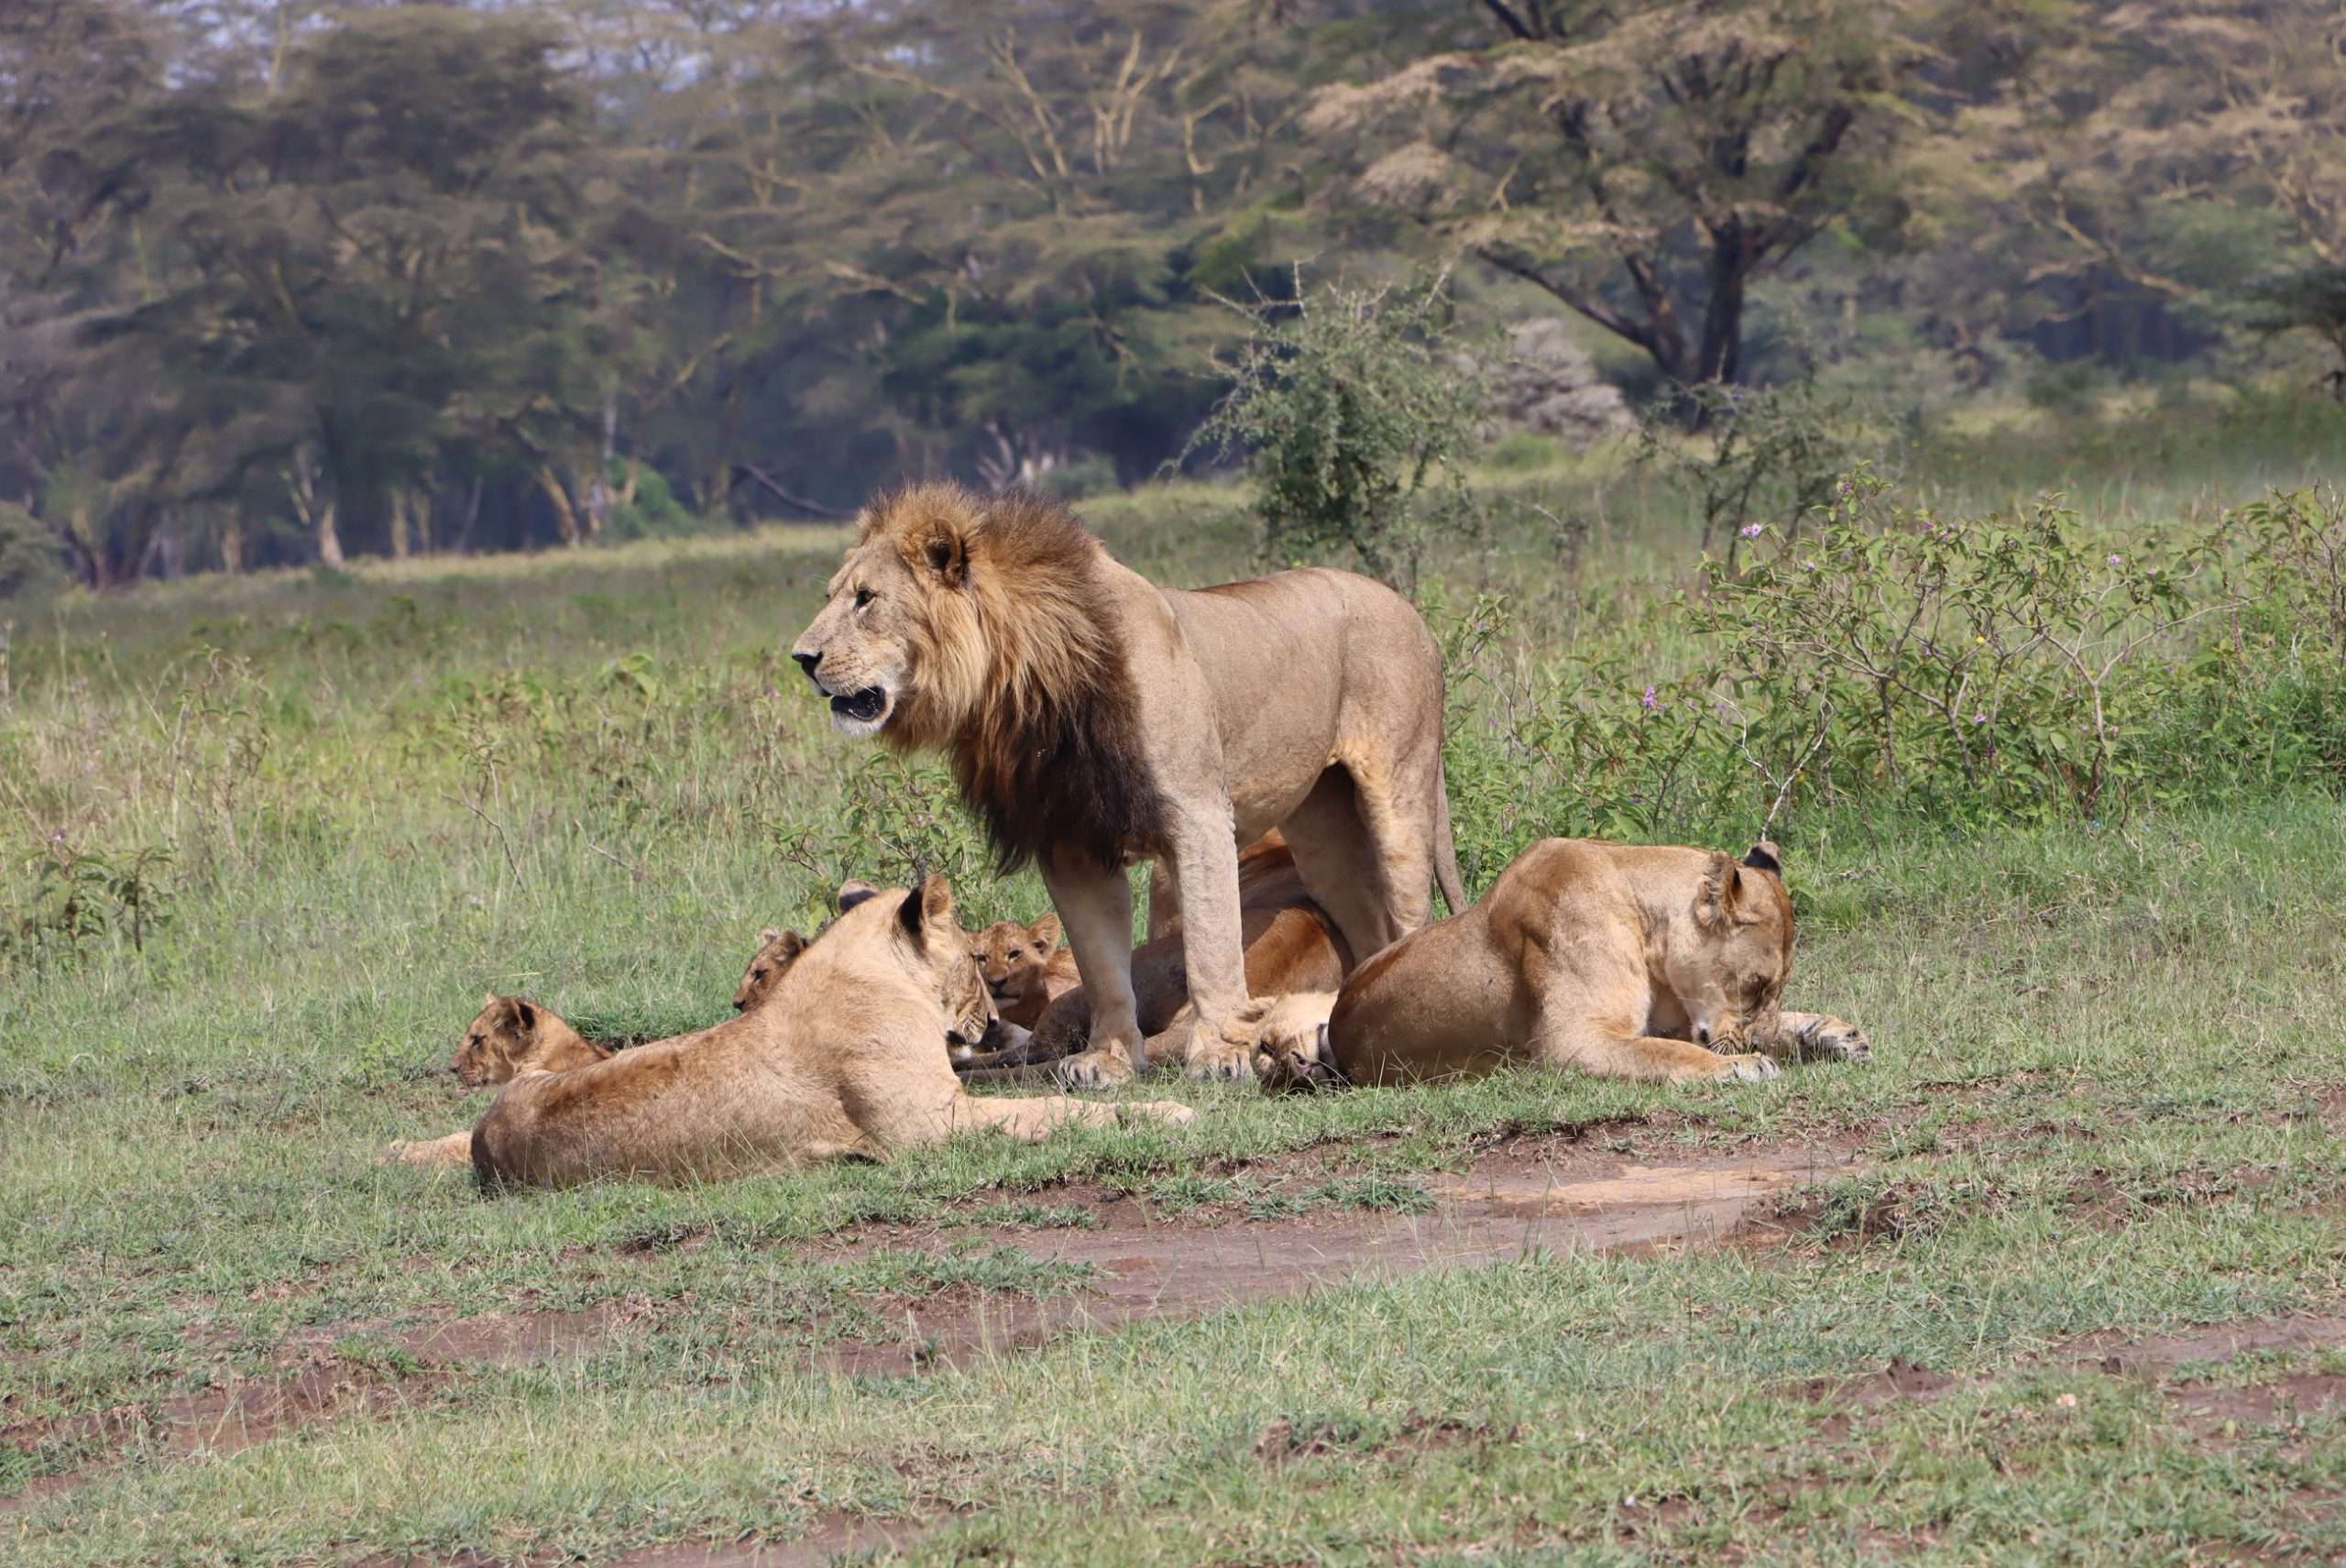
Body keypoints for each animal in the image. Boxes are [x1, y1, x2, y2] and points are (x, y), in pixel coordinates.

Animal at [793, 483, 1464, 1084]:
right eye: (830, 596)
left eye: (866, 599)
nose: (802, 658)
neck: (1024, 688)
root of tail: (1411, 611)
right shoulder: (1071, 842)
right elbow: (1102, 968)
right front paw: (1110, 1060)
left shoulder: (1197, 815)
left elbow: (1210, 946)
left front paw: (1220, 1053)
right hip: (1324, 831)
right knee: (1364, 920)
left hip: (1400, 792)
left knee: (1407, 910)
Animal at [1247, 839, 1867, 1084]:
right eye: (1756, 985)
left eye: (1775, 989)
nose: (1758, 1043)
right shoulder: (1571, 1040)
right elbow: (1670, 1053)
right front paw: (1744, 1064)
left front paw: (1830, 1032)